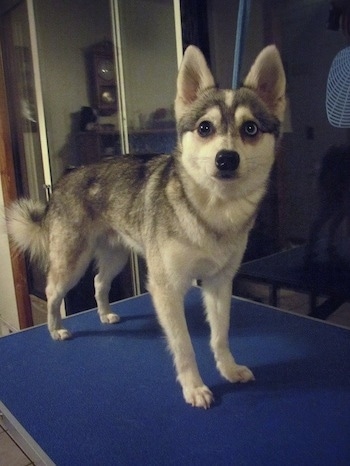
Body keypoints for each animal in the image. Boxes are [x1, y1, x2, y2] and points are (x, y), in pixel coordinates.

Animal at [6, 44, 286, 408]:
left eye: (250, 129)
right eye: (205, 128)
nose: (226, 159)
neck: (212, 209)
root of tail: (67, 177)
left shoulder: (219, 283)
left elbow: (220, 336)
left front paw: (228, 369)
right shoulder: (166, 288)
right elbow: (184, 346)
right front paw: (194, 387)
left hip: (115, 257)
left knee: (99, 282)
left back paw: (105, 315)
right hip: (71, 261)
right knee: (54, 292)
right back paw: (55, 330)